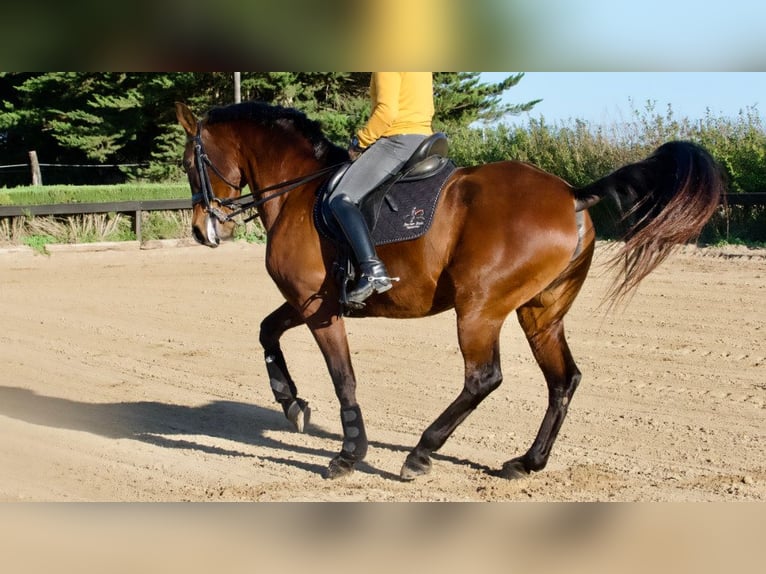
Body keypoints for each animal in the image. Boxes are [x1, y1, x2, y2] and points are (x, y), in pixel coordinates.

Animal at [176, 100, 728, 482]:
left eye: (187, 163)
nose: (203, 230)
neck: (300, 191)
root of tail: (572, 194)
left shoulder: (318, 308)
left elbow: (343, 378)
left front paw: (348, 454)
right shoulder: (310, 302)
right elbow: (267, 331)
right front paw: (291, 404)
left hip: (479, 310)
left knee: (484, 378)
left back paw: (421, 452)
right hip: (540, 314)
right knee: (563, 380)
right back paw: (527, 462)